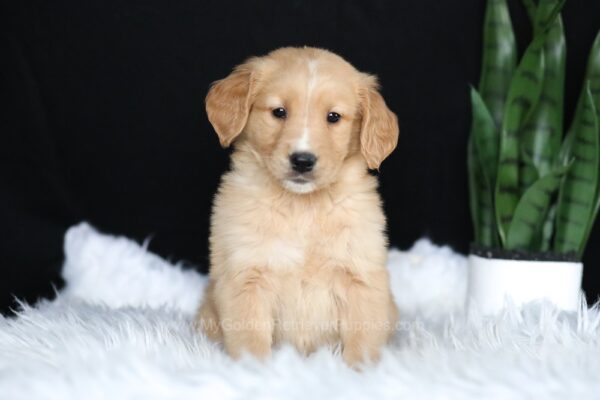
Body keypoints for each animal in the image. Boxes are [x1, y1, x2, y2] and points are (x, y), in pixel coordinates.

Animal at [198, 46, 398, 366]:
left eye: (333, 117)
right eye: (279, 112)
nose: (302, 161)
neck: (303, 207)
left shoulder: (361, 278)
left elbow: (362, 340)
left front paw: (360, 371)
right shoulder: (245, 278)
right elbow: (250, 340)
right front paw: (252, 370)